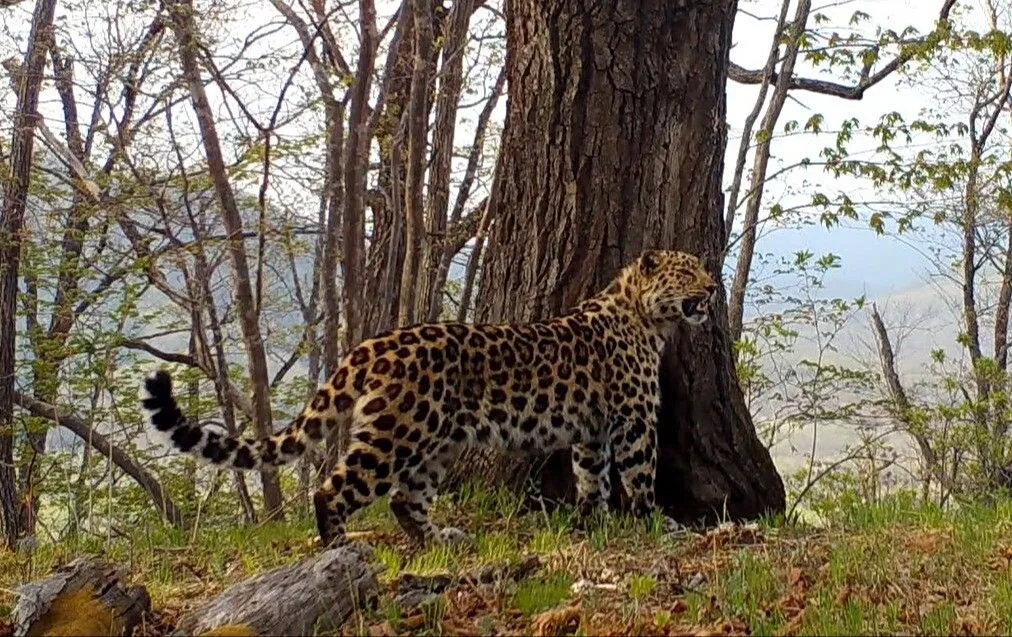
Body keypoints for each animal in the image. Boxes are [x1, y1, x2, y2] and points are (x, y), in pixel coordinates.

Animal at [140, 248, 720, 546]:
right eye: (689, 271)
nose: (714, 289)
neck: (648, 318)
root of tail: (369, 344)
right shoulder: (634, 421)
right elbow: (639, 475)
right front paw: (654, 522)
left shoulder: (592, 431)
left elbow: (592, 479)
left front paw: (595, 523)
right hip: (395, 435)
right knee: (336, 487)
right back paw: (338, 544)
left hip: (437, 443)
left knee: (404, 497)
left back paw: (437, 540)